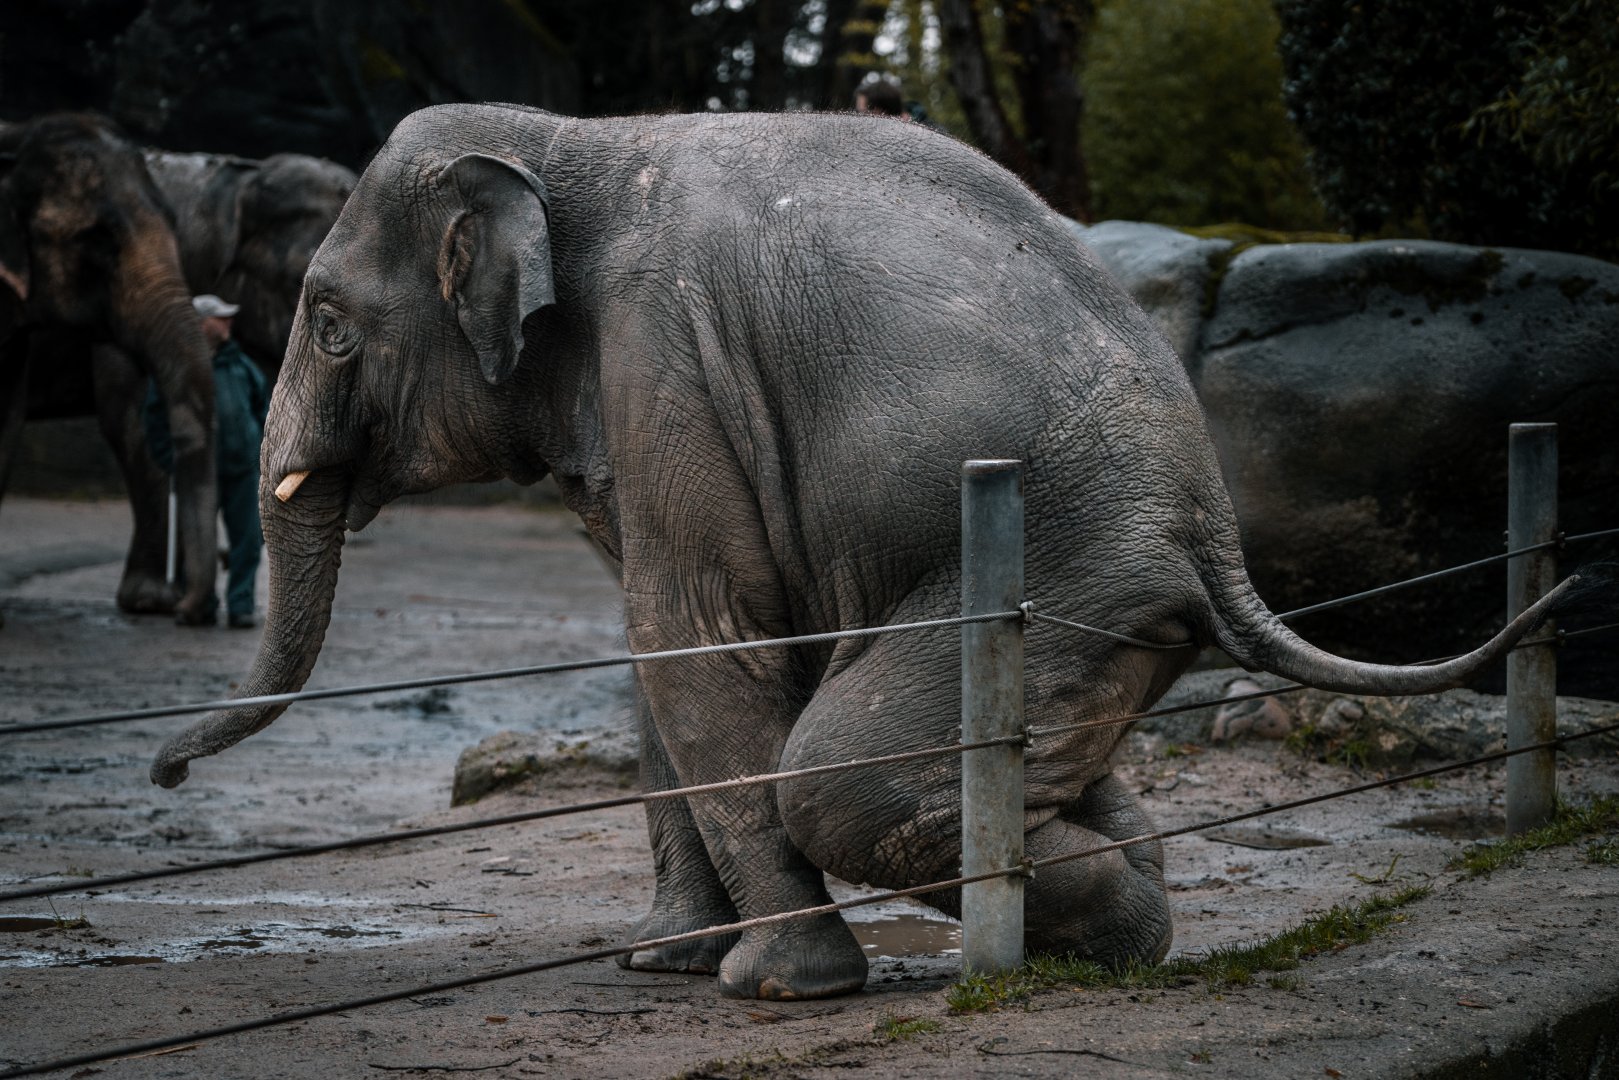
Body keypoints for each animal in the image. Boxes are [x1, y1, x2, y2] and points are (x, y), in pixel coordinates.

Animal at [148, 104, 1570, 1000]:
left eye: (329, 321)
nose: (162, 774)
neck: (570, 140)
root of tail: (1213, 531)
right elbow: (657, 658)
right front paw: (663, 966)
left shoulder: (665, 360)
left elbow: (696, 642)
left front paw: (775, 991)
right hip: (1098, 600)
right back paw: (1114, 911)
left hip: (1058, 557)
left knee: (841, 779)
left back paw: (1077, 933)